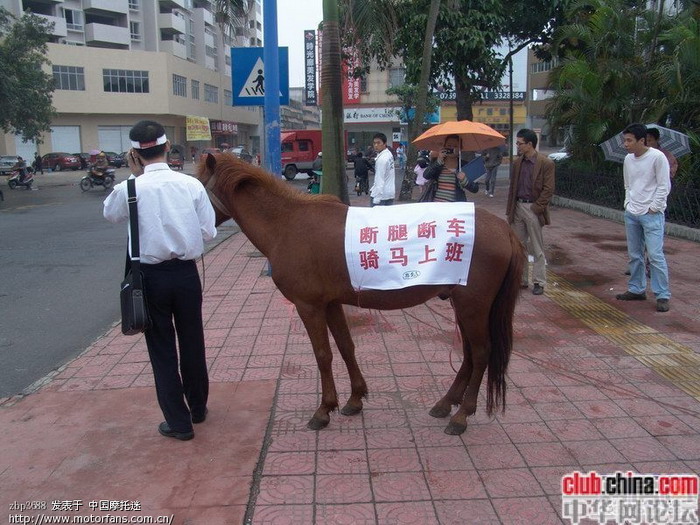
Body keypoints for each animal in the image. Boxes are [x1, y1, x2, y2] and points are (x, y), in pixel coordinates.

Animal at [200, 155, 524, 434]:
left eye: (197, 184)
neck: (287, 225)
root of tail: (504, 229)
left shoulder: (309, 306)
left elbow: (323, 355)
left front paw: (323, 410)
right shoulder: (331, 303)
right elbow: (345, 347)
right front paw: (354, 399)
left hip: (473, 305)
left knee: (481, 353)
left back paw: (461, 415)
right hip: (464, 304)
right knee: (469, 353)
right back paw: (445, 404)